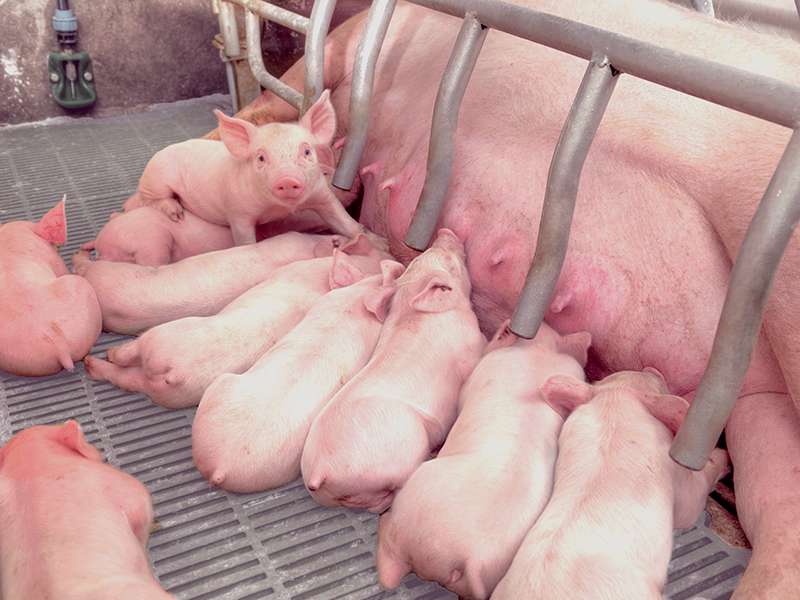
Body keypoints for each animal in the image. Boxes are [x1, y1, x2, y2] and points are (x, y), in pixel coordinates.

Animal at [124, 89, 367, 246]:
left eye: (306, 151)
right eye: (261, 157)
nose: (287, 179)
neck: (278, 209)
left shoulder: (322, 194)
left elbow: (344, 221)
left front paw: (369, 238)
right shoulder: (237, 213)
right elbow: (245, 240)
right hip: (156, 180)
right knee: (148, 200)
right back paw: (176, 213)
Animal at [301, 228, 487, 514]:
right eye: (451, 265)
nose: (445, 231)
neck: (411, 307)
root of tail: (318, 472)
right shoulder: (470, 345)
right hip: (404, 452)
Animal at [375, 320, 591, 599]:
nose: (543, 321)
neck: (540, 354)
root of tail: (471, 557)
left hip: (416, 495)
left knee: (390, 561)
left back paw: (383, 522)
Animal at [491, 369, 731, 600]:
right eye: (659, 385)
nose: (651, 368)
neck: (615, 412)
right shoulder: (678, 483)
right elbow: (692, 503)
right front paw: (726, 459)